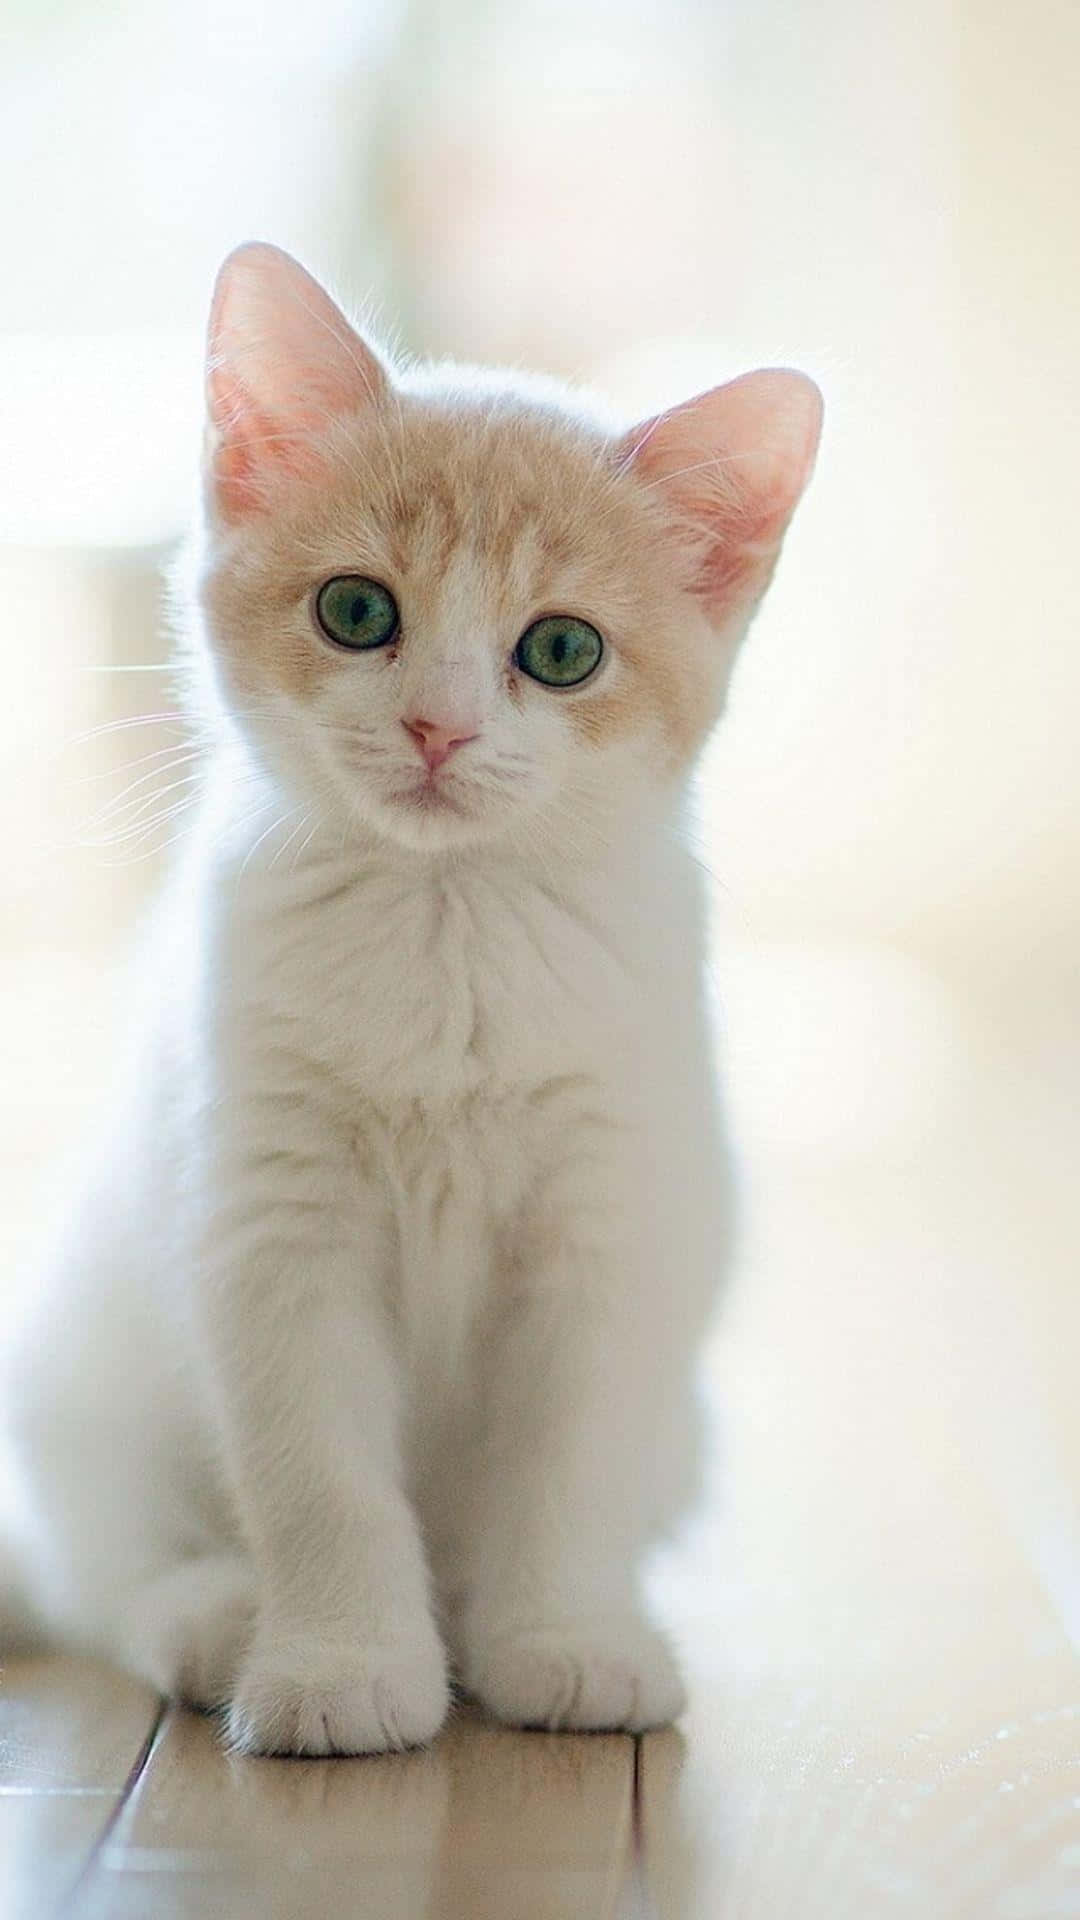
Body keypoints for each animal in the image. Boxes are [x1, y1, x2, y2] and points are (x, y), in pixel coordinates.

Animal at [0, 243, 810, 1758]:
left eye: (563, 651)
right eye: (357, 612)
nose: (439, 727)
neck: (449, 935)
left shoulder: (610, 1230)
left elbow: (567, 1468)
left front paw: (565, 1638)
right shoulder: (269, 1228)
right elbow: (319, 1477)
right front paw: (339, 1665)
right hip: (85, 1365)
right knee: (97, 1575)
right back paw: (213, 1615)